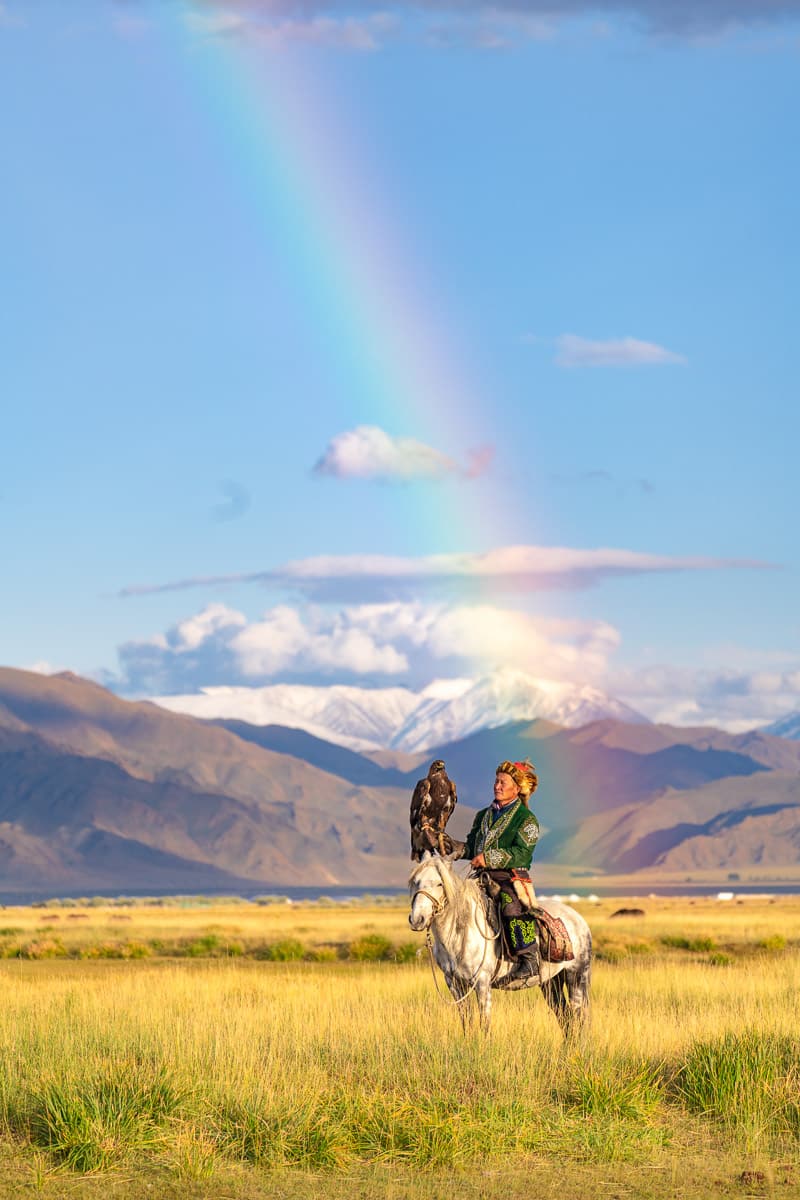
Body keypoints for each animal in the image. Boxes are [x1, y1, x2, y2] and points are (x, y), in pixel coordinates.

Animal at [410, 854, 592, 1032]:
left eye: (440, 883)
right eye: (416, 881)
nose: (417, 919)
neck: (458, 935)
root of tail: (579, 919)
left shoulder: (482, 983)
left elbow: (484, 1025)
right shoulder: (454, 984)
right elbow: (466, 1022)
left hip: (576, 976)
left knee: (579, 1018)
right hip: (550, 982)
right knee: (565, 1017)